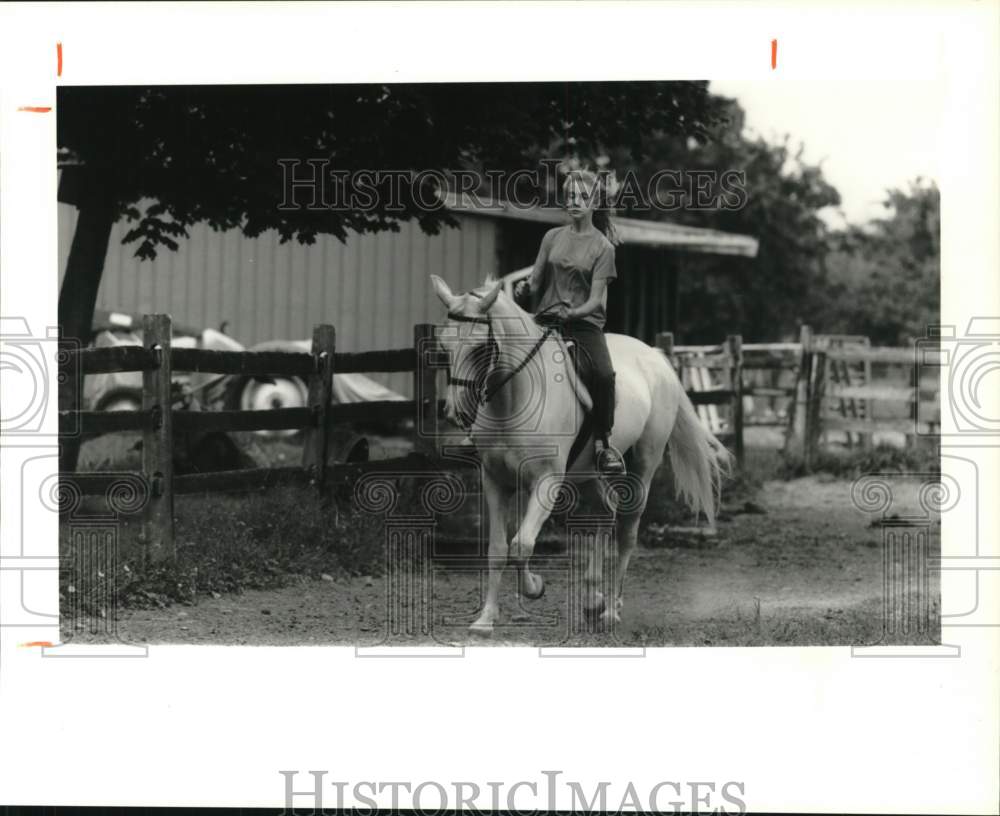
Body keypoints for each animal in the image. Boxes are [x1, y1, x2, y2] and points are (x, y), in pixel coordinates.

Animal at [428, 274, 728, 636]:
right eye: (443, 347)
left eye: (479, 348)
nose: (454, 413)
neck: (514, 399)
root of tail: (656, 358)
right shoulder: (495, 480)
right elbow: (498, 549)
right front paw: (485, 619)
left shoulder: (546, 481)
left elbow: (521, 545)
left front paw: (535, 588)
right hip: (590, 474)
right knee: (604, 514)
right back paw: (592, 600)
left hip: (643, 467)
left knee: (627, 531)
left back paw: (611, 610)